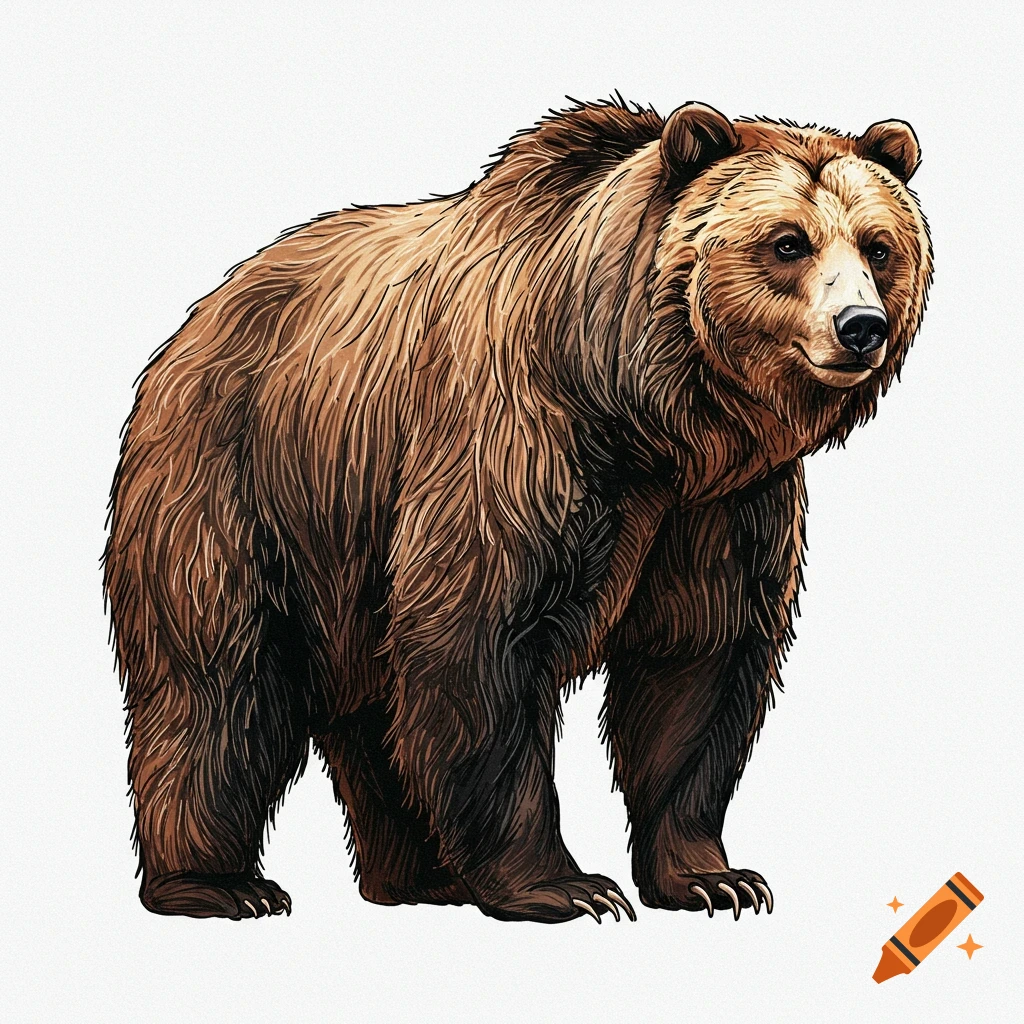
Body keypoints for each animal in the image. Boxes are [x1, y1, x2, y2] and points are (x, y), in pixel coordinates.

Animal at [103, 98, 932, 924]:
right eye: (788, 242)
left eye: (878, 245)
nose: (861, 326)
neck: (652, 413)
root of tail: (202, 315)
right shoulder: (515, 443)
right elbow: (479, 641)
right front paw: (567, 885)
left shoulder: (719, 508)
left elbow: (696, 664)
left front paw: (713, 878)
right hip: (239, 480)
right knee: (219, 683)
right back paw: (220, 884)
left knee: (374, 707)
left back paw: (420, 878)